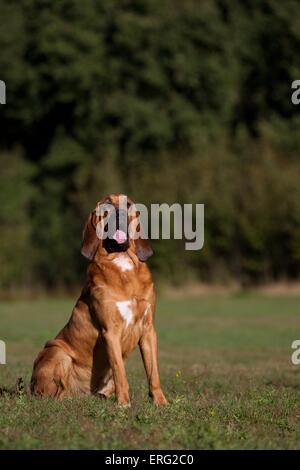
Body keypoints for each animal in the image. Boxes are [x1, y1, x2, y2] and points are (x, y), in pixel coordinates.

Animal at [31, 193, 168, 406]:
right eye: (107, 204)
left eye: (128, 204)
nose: (120, 213)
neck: (122, 262)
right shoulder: (110, 331)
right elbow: (120, 372)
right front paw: (124, 403)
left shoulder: (148, 330)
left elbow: (153, 372)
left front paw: (160, 401)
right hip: (57, 352)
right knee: (55, 394)